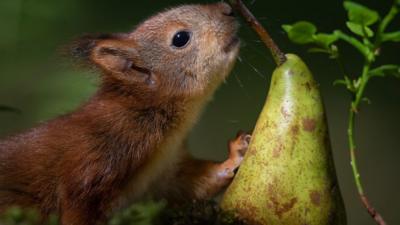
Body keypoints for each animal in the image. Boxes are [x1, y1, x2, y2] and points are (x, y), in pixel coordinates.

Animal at [0, 3, 250, 225]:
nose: (228, 9)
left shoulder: (165, 173)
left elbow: (194, 184)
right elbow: (77, 207)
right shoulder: (94, 157)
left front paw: (237, 153)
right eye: (180, 38)